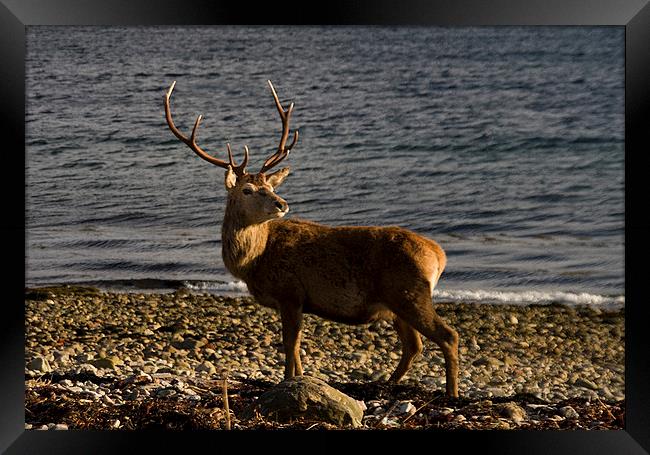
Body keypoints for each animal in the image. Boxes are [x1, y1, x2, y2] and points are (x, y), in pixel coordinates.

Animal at [165, 80, 458, 398]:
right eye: (247, 189)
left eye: (270, 186)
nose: (282, 203)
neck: (254, 262)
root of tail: (439, 255)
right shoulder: (294, 299)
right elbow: (294, 347)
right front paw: (301, 380)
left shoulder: (290, 292)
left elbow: (290, 344)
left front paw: (288, 381)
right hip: (396, 304)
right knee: (414, 345)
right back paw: (385, 384)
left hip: (410, 293)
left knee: (448, 335)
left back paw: (451, 393)